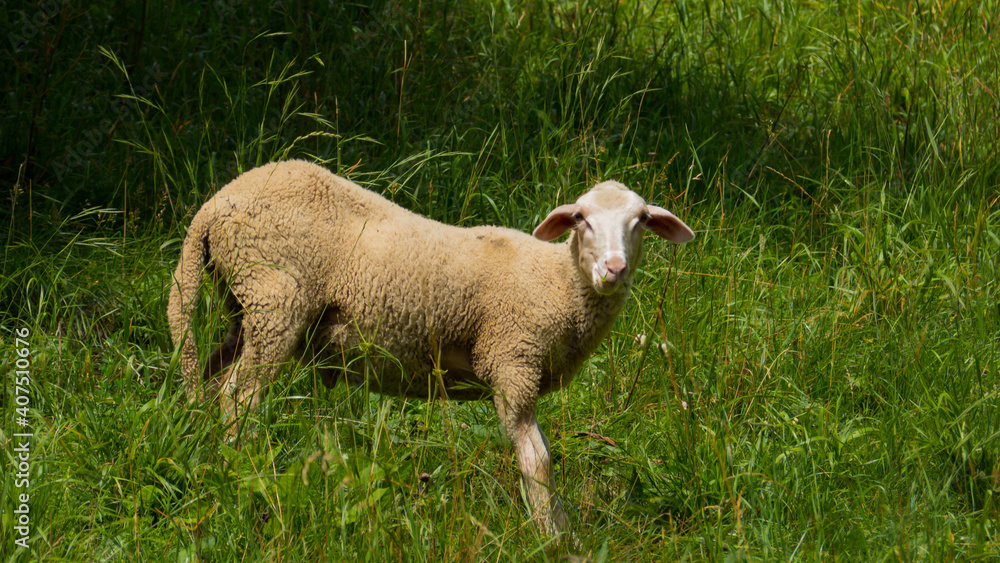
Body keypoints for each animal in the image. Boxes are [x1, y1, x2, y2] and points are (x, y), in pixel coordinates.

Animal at [167, 159, 695, 534]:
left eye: (641, 221)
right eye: (581, 219)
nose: (614, 268)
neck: (559, 286)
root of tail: (215, 205)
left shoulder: (520, 371)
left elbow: (543, 454)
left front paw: (563, 530)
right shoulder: (512, 362)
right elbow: (537, 461)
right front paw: (552, 537)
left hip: (245, 307)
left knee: (214, 379)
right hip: (276, 298)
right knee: (239, 397)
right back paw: (244, 472)